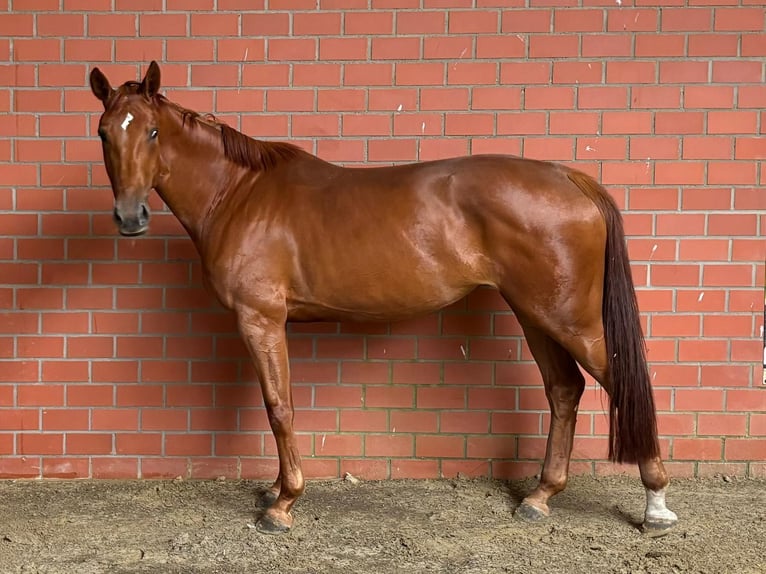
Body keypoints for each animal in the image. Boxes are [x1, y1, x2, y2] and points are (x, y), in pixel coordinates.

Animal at [90, 63, 680, 536]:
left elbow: (279, 406)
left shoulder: (261, 320)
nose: (129, 217)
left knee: (621, 381)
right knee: (563, 390)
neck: (239, 195)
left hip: (569, 319)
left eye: (152, 130)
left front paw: (282, 504)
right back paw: (539, 497)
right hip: (535, 314)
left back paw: (655, 505)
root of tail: (568, 176)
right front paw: (276, 492)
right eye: (102, 133)